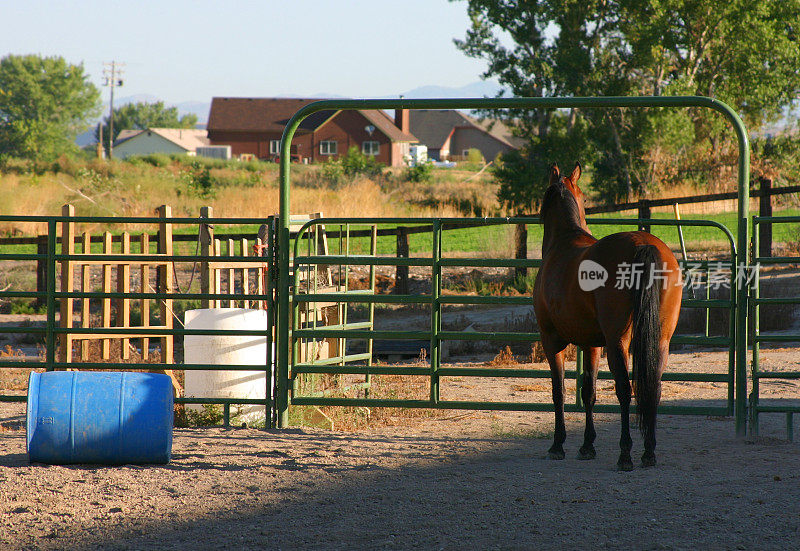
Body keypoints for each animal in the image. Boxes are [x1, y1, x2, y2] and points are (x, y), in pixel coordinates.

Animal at [532, 163, 680, 470]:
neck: (562, 242)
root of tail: (643, 243)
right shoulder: (591, 344)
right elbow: (588, 391)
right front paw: (587, 445)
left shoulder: (551, 341)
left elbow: (558, 391)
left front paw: (558, 445)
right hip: (660, 339)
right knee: (654, 387)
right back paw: (649, 452)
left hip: (618, 341)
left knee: (624, 389)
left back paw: (626, 454)